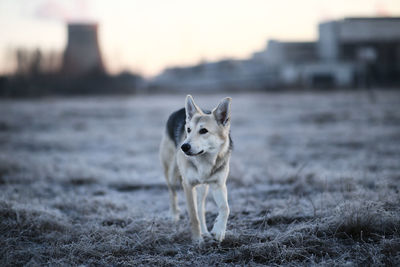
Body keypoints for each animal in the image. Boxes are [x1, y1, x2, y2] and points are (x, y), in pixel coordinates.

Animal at [158, 95, 231, 244]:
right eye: (188, 130)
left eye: (203, 131)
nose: (183, 147)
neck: (205, 160)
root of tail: (180, 110)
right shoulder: (187, 185)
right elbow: (193, 215)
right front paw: (197, 240)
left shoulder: (218, 185)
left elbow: (225, 208)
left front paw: (219, 231)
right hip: (173, 176)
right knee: (172, 193)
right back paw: (174, 215)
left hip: (203, 188)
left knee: (201, 209)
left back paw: (205, 231)